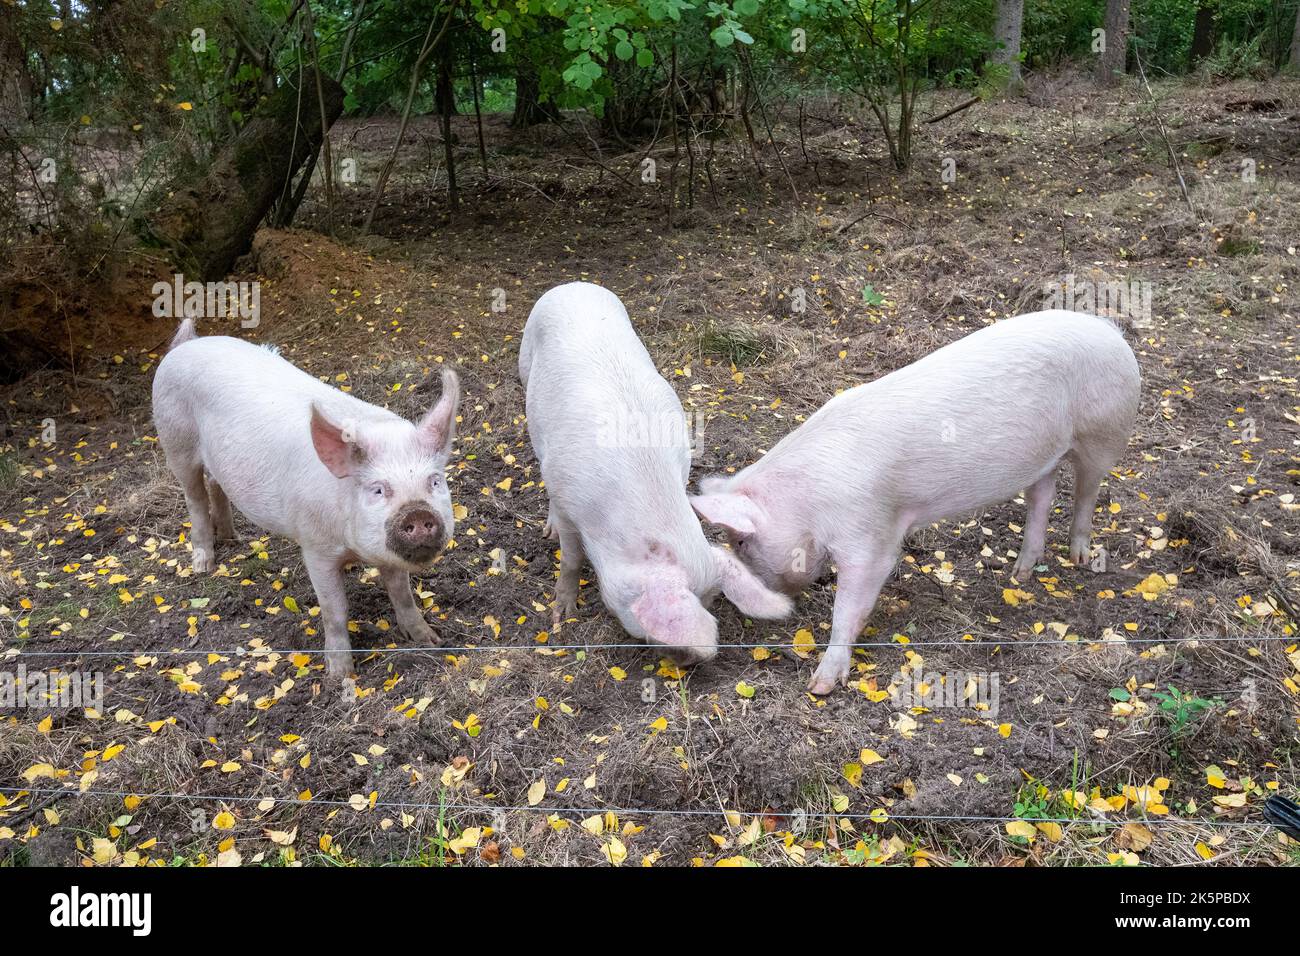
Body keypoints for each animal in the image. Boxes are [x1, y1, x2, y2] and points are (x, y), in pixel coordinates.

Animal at [152, 321, 460, 681]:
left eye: (434, 481)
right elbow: (334, 609)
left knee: (215, 484)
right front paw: (340, 675)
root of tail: (186, 344)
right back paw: (204, 566)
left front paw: (430, 640)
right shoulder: (315, 547)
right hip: (175, 441)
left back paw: (233, 538)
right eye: (378, 490)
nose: (417, 512)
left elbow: (403, 594)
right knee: (194, 497)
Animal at [520, 280, 790, 660]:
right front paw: (563, 616)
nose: (686, 663)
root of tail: (574, 284)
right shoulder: (567, 498)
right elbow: (570, 560)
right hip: (526, 364)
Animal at [691, 314, 1138, 697]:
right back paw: (1020, 574)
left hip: (1104, 432)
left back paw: (1080, 558)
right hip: (1042, 457)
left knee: (1087, 491)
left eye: (742, 542)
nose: (746, 605)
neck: (808, 502)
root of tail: (1109, 329)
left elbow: (850, 604)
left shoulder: (869, 533)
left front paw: (819, 685)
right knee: (1042, 496)